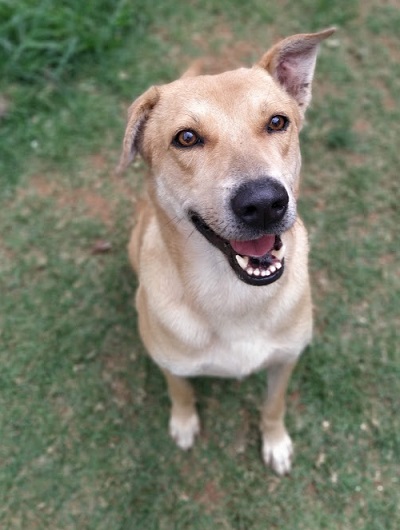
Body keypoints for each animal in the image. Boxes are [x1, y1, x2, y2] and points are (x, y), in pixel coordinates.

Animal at [118, 27, 334, 474]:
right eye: (186, 138)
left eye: (277, 121)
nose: (265, 203)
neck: (235, 298)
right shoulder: (171, 364)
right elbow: (181, 392)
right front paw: (184, 423)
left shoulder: (286, 359)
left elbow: (274, 404)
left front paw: (275, 442)